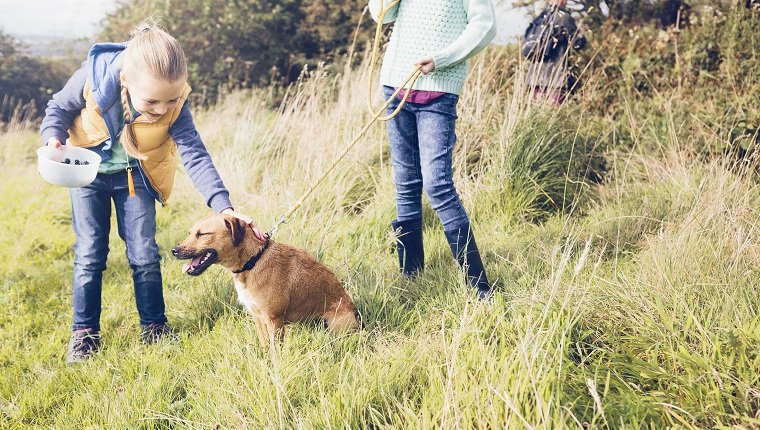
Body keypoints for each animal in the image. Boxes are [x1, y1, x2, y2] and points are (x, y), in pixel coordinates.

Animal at [175, 215, 360, 346]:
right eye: (190, 233)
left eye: (202, 234)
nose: (174, 251)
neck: (252, 262)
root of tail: (354, 311)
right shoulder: (258, 317)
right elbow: (265, 345)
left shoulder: (274, 320)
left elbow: (274, 350)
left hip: (338, 326)